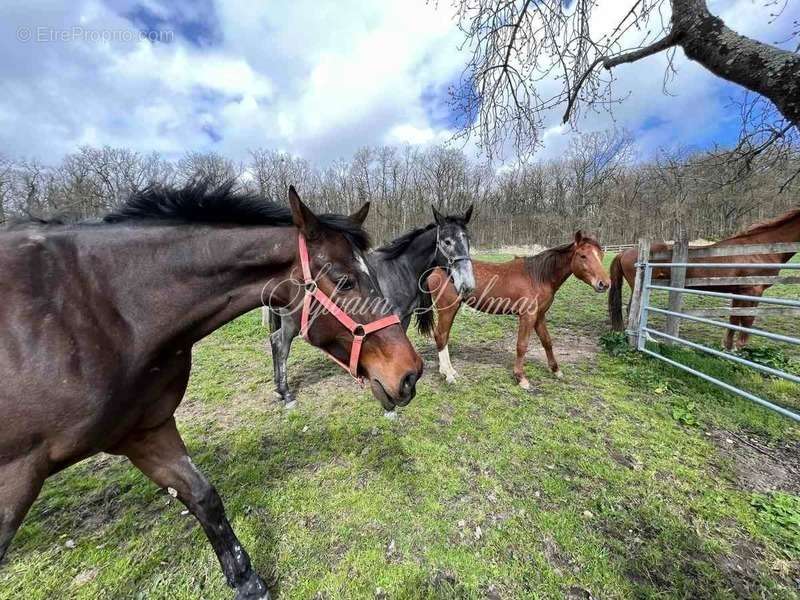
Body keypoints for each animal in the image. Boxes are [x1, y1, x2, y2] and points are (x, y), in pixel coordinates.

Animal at [0, 183, 424, 600]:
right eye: (344, 280)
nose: (410, 373)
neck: (110, 309)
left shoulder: (146, 430)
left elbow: (203, 497)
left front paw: (247, 582)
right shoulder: (16, 474)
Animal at [266, 205, 476, 408]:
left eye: (467, 240)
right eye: (447, 242)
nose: (467, 285)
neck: (400, 269)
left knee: (275, 341)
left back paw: (279, 390)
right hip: (292, 323)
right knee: (281, 345)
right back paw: (286, 393)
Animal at [422, 230, 608, 390]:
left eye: (601, 255)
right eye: (583, 255)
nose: (604, 284)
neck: (538, 276)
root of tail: (436, 269)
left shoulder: (539, 316)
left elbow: (547, 341)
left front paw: (556, 371)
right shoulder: (527, 316)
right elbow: (522, 345)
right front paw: (521, 378)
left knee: (443, 336)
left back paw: (447, 371)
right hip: (448, 308)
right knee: (441, 335)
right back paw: (448, 374)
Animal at [608, 206, 796, 350]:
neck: (762, 248)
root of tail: (625, 251)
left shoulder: (739, 291)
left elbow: (734, 318)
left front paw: (728, 347)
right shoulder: (753, 290)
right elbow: (748, 318)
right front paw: (739, 348)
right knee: (635, 309)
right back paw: (646, 337)